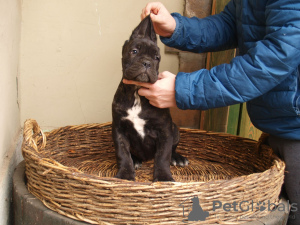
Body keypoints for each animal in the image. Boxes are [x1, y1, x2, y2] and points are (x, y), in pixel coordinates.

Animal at [112, 15, 188, 181]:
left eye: (157, 58)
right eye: (134, 51)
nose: (147, 62)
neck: (136, 92)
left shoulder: (165, 130)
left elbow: (163, 156)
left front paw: (164, 177)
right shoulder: (119, 130)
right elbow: (123, 154)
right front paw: (125, 174)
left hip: (175, 129)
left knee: (172, 149)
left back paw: (177, 158)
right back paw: (136, 160)